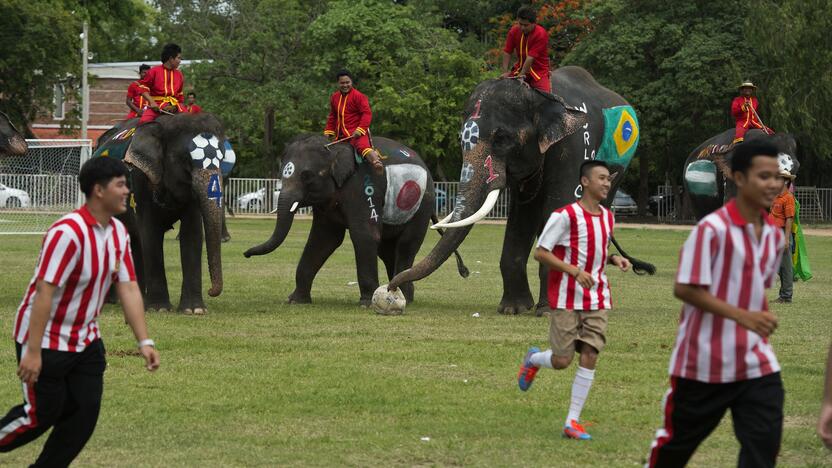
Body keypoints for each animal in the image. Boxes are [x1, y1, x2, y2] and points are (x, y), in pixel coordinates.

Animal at [95, 111, 236, 312]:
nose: (211, 291)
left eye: (222, 158)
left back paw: (136, 299)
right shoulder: (140, 179)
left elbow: (192, 233)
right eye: (185, 160)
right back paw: (113, 301)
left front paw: (194, 310)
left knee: (135, 242)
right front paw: (159, 308)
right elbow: (150, 232)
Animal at [245, 133, 468, 306]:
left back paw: (403, 295)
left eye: (307, 176)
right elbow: (323, 240)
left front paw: (366, 303)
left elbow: (364, 235)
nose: (246, 254)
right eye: (282, 175)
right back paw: (398, 293)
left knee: (406, 246)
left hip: (422, 206)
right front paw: (295, 301)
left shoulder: (363, 188)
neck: (335, 148)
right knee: (387, 250)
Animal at [386, 66, 656, 314]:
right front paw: (513, 309)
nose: (391, 288)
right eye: (460, 139)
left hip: (617, 167)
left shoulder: (575, 145)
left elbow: (560, 205)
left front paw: (549, 311)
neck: (538, 95)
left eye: (502, 139)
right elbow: (521, 218)